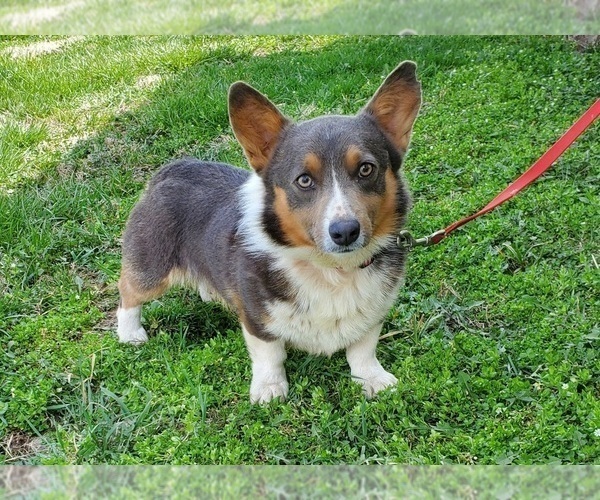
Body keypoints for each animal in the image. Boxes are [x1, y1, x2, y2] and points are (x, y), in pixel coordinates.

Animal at [117, 60, 422, 404]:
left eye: (366, 169)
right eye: (304, 180)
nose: (345, 232)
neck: (331, 270)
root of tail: (171, 170)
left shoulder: (373, 314)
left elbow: (362, 349)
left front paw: (372, 378)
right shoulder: (257, 320)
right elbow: (270, 355)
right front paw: (270, 389)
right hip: (151, 269)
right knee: (128, 292)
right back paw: (130, 333)